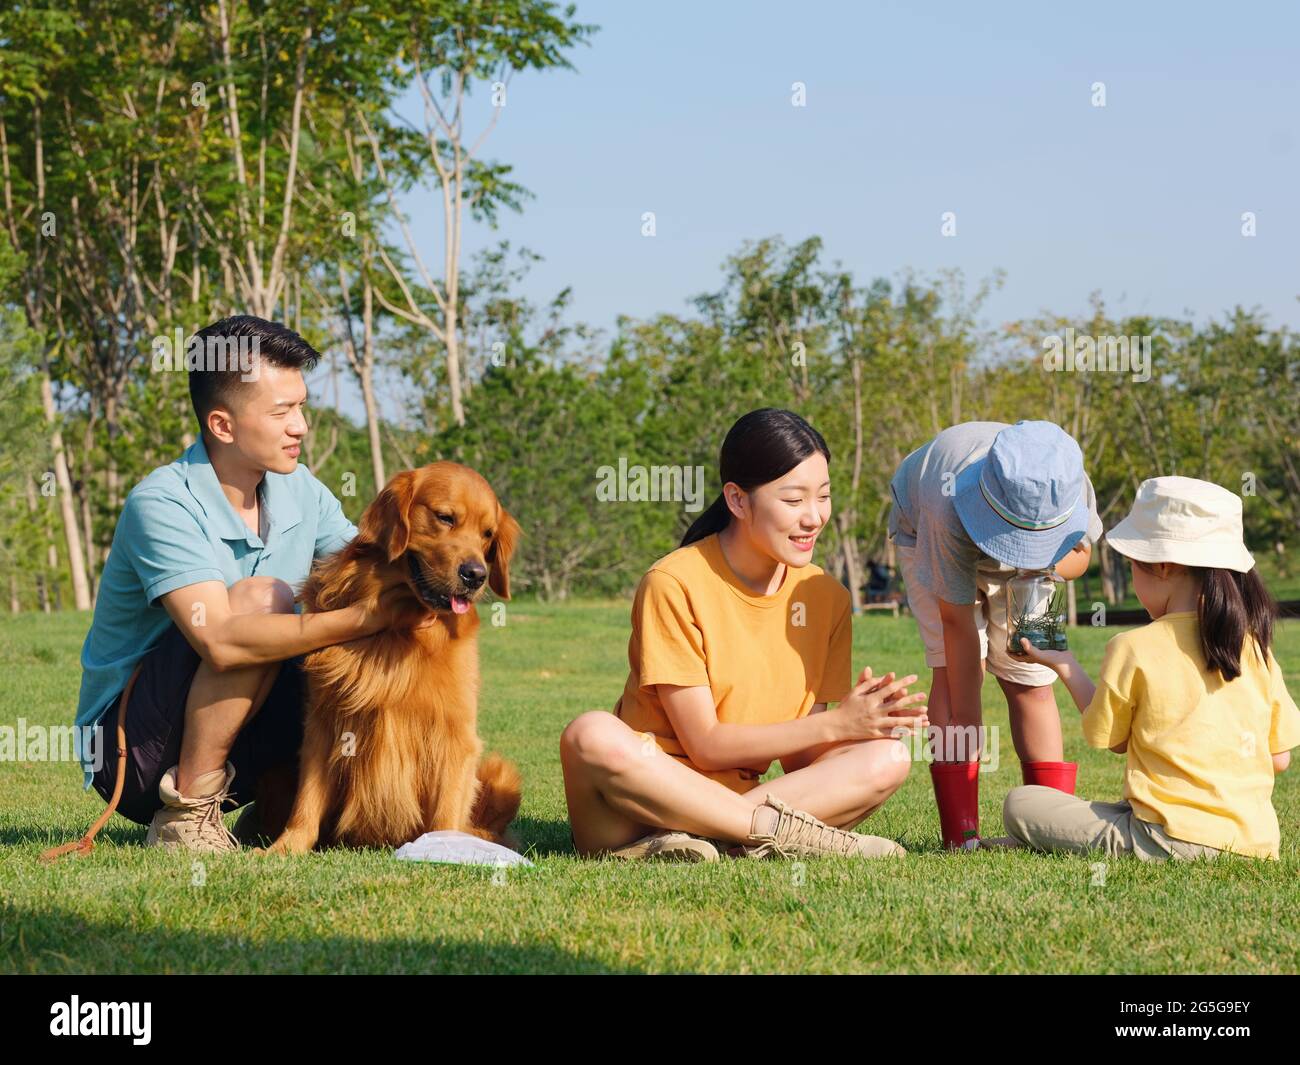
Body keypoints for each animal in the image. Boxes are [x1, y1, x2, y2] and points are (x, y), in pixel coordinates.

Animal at [263, 462, 522, 853]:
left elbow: (447, 807)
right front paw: (286, 846)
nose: (475, 575)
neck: (405, 631)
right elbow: (307, 799)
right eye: (445, 517)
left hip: (500, 775)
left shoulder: (457, 732)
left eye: (488, 534)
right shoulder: (323, 722)